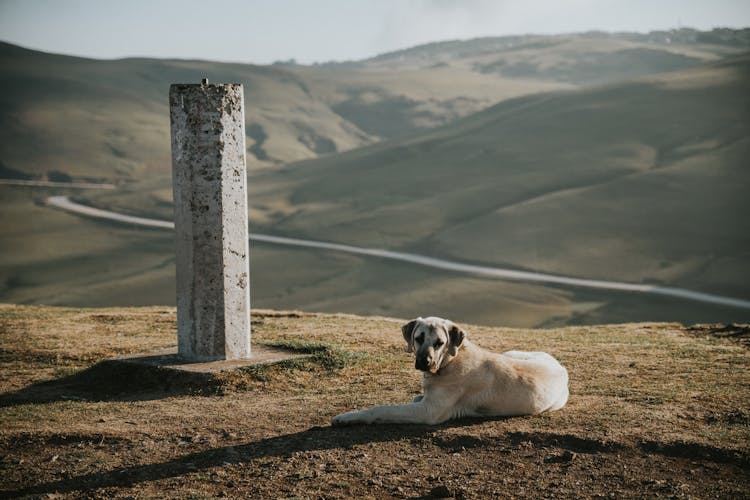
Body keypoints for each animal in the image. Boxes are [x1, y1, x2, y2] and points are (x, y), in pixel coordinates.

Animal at [334, 316, 568, 426]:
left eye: (439, 343)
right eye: (418, 338)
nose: (425, 362)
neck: (449, 361)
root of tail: (562, 369)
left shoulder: (428, 411)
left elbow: (383, 410)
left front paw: (347, 417)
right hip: (512, 352)